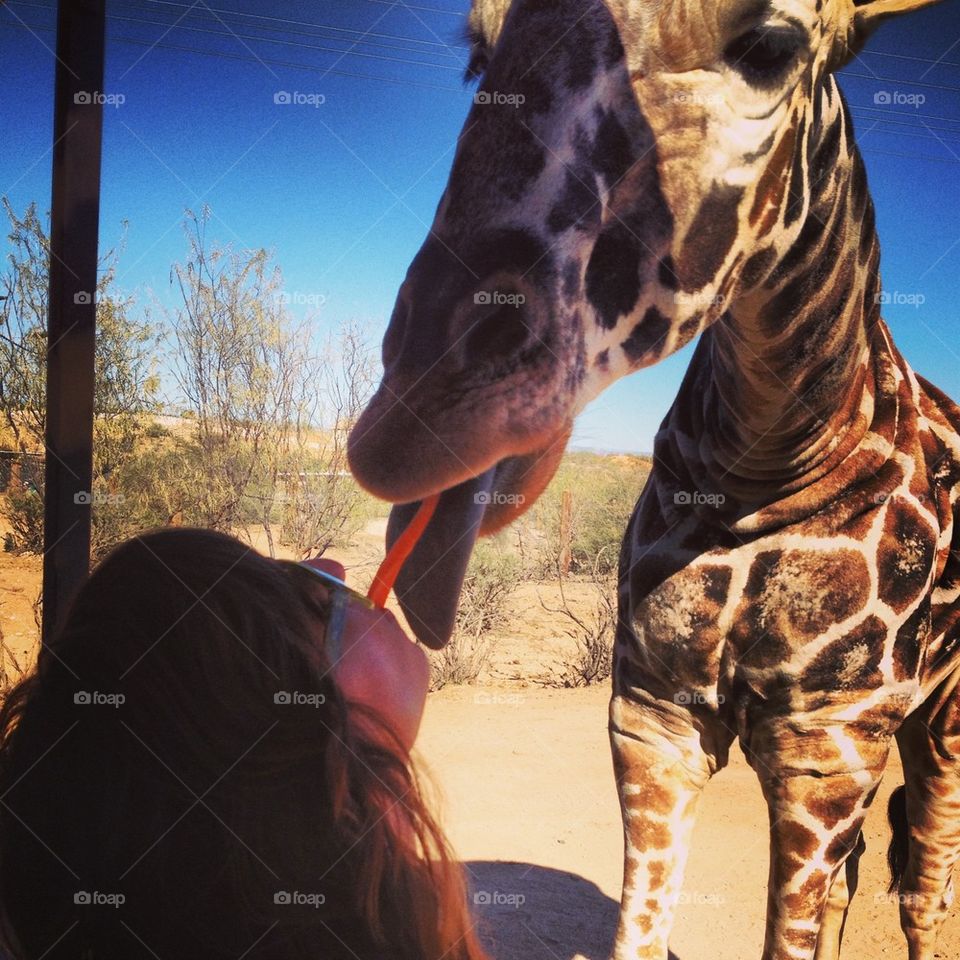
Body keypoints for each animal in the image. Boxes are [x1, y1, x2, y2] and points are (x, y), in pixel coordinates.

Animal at [346, 1, 960, 960]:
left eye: (772, 46)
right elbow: (639, 931)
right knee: (861, 874)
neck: (766, 463)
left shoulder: (830, 744)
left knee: (925, 884)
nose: (411, 417)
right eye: (478, 50)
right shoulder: (653, 715)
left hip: (942, 723)